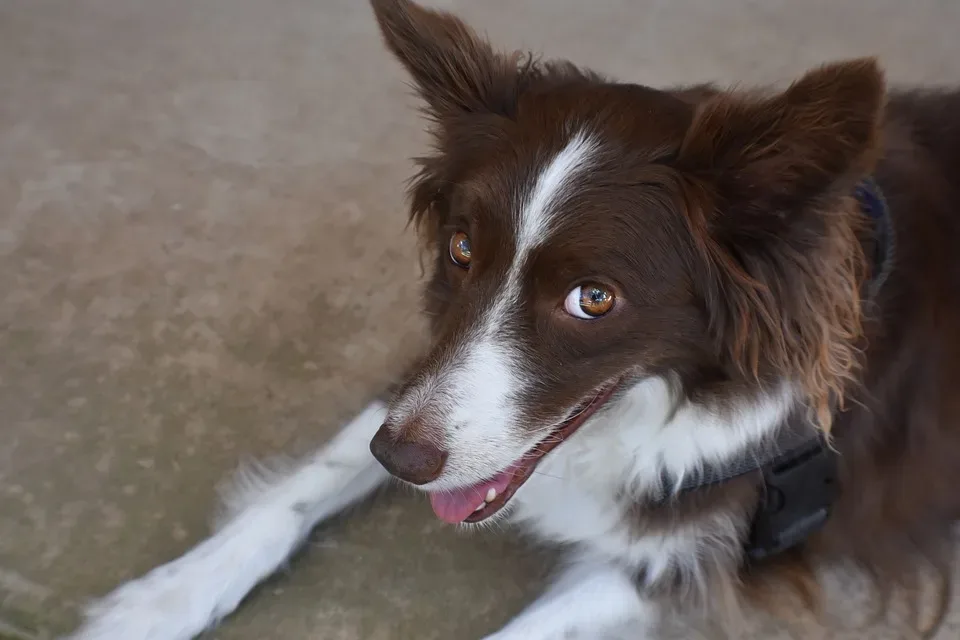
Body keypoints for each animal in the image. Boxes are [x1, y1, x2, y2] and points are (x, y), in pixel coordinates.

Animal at [67, 1, 960, 640]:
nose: (401, 462)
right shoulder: (430, 370)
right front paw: (162, 599)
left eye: (594, 298)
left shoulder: (702, 551)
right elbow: (312, 477)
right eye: (462, 249)